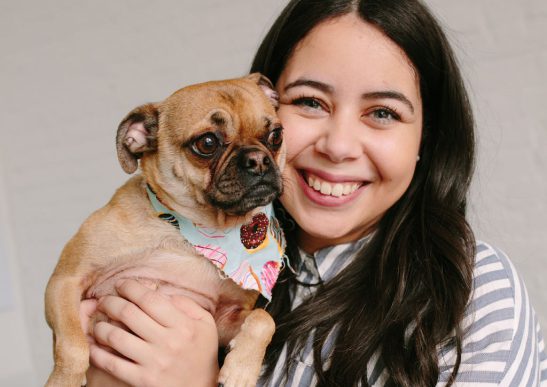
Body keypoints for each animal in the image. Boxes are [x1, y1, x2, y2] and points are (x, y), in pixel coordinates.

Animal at [46, 73, 286, 387]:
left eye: (276, 135)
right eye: (207, 143)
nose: (258, 159)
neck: (190, 232)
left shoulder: (225, 318)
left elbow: (263, 320)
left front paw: (241, 370)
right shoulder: (66, 281)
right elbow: (72, 344)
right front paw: (65, 379)